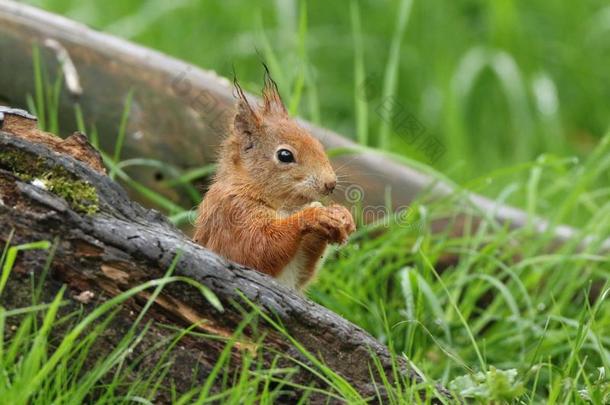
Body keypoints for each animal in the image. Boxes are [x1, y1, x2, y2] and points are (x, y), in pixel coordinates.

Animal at [195, 71, 354, 288]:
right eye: (285, 155)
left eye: (317, 143)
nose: (330, 184)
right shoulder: (231, 214)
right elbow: (256, 250)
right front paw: (313, 216)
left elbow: (305, 272)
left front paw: (342, 215)